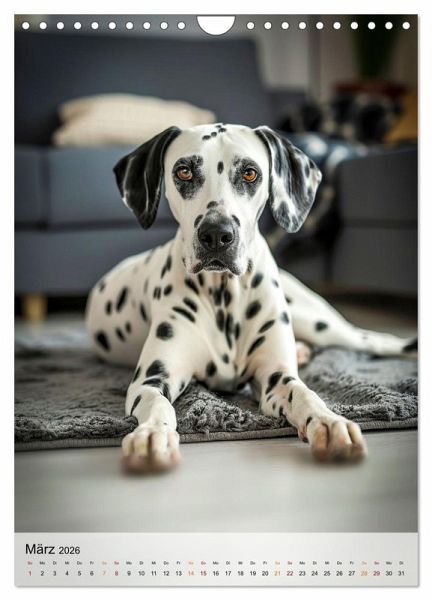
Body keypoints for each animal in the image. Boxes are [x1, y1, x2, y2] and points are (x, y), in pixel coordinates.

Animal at [85, 123, 416, 472]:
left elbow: (305, 394)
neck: (224, 297)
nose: (217, 234)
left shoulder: (276, 378)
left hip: (321, 323)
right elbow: (157, 405)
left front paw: (328, 423)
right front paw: (152, 435)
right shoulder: (150, 380)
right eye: (184, 171)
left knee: (379, 341)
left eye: (249, 173)